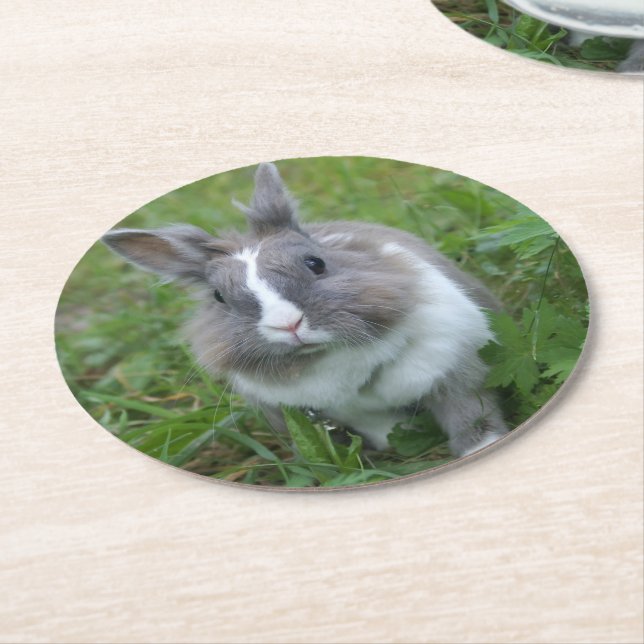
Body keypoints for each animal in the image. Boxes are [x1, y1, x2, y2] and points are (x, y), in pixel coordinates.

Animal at [102, 162, 508, 457]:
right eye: (218, 297)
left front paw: (483, 448)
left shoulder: (455, 368)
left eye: (316, 263)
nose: (288, 325)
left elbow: (471, 415)